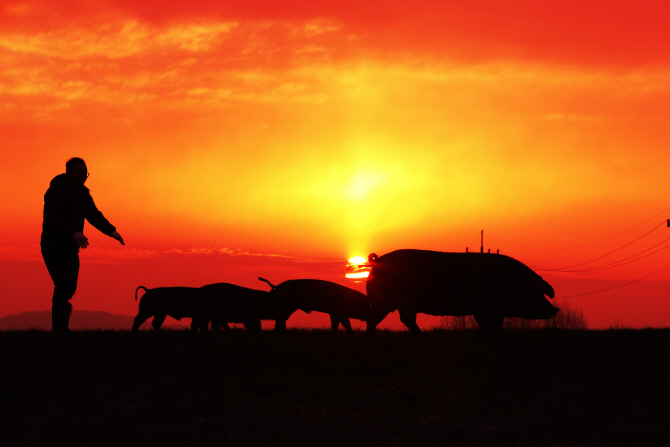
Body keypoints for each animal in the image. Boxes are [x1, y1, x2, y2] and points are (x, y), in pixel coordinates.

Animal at [364, 248, 560, 336]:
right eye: (536, 293)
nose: (555, 310)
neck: (511, 283)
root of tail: (376, 262)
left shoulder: (487, 310)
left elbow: (493, 324)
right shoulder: (486, 308)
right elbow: (491, 323)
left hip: (390, 302)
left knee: (384, 318)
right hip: (396, 300)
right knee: (397, 318)